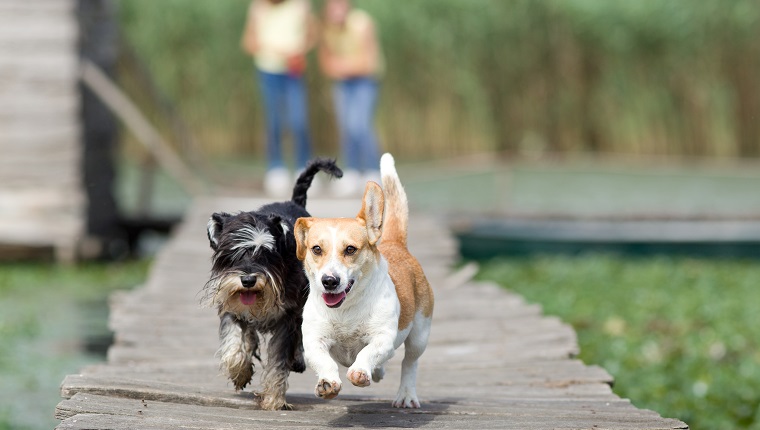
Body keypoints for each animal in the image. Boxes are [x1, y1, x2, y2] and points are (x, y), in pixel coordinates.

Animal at [203, 158, 342, 410]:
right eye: (231, 254)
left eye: (267, 254)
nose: (248, 280)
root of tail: (294, 202)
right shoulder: (230, 308)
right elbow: (233, 343)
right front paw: (240, 372)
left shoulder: (287, 318)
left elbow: (278, 359)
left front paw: (274, 399)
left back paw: (297, 359)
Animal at [292, 153, 434, 408]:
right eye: (316, 249)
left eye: (350, 249)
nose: (329, 281)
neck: (346, 310)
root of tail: (395, 243)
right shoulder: (313, 341)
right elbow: (324, 361)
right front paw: (327, 382)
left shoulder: (383, 338)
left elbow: (367, 353)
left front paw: (360, 371)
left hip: (420, 334)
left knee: (409, 363)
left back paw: (406, 394)